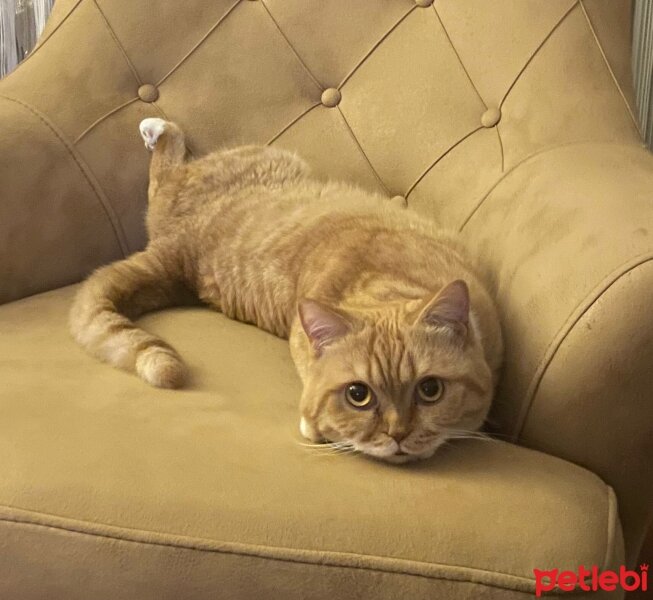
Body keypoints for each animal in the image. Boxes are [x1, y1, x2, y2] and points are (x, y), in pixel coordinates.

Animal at [70, 118, 500, 464]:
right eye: (359, 395)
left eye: (430, 390)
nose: (397, 434)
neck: (382, 281)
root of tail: (177, 254)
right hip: (258, 158)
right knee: (165, 161)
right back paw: (154, 127)